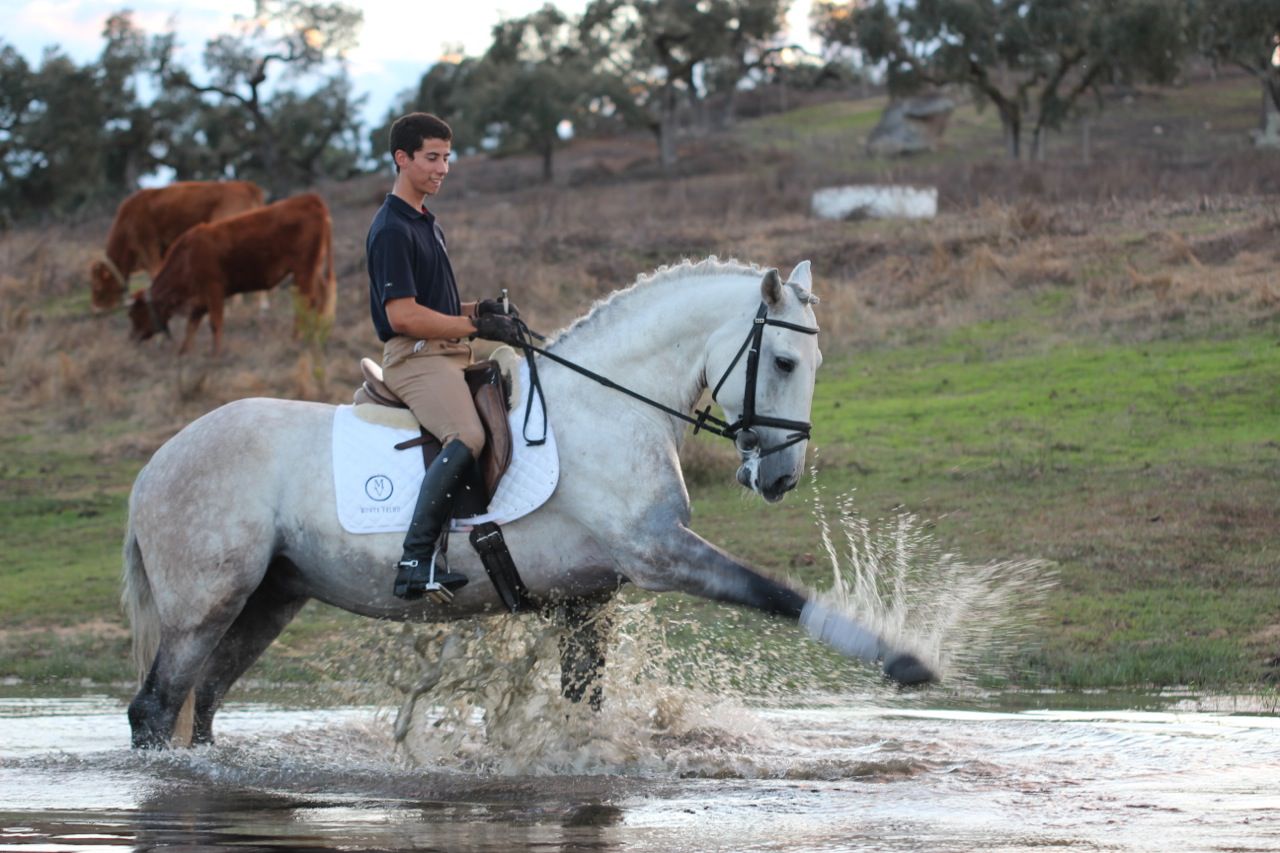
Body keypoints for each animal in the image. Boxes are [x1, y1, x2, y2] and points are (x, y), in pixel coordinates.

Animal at [124, 257, 936, 742]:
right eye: (787, 361)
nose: (782, 478)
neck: (610, 407)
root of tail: (154, 467)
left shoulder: (590, 593)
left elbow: (583, 701)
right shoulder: (661, 556)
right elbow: (774, 592)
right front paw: (904, 659)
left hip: (271, 596)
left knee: (204, 702)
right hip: (206, 604)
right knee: (157, 706)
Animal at [129, 190, 337, 353]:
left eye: (135, 313)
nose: (132, 338)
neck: (187, 257)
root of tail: (311, 200)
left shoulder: (214, 290)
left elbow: (215, 323)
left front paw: (216, 354)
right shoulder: (199, 301)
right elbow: (191, 328)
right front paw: (184, 353)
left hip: (303, 270)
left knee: (305, 303)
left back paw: (296, 339)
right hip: (313, 270)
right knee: (320, 298)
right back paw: (318, 333)